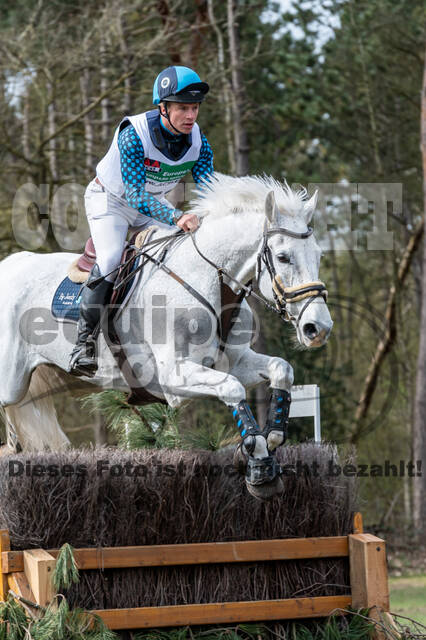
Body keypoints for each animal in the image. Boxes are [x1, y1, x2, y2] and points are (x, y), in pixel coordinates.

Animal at [0, 175, 332, 500]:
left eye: (318, 255)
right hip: (11, 385)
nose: (318, 328)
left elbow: (281, 369)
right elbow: (232, 388)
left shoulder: (234, 360)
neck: (209, 279)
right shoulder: (175, 378)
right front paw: (259, 460)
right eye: (283, 257)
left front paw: (271, 438)